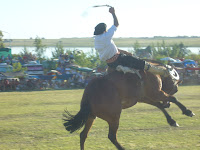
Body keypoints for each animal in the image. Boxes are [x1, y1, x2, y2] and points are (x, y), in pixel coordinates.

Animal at [63, 60, 195, 149]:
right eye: (175, 88)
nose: (167, 104)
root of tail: (89, 92)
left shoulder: (144, 97)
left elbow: (159, 105)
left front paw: (172, 121)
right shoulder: (156, 93)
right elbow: (173, 99)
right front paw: (187, 111)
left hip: (91, 116)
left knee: (83, 135)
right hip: (114, 117)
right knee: (111, 136)